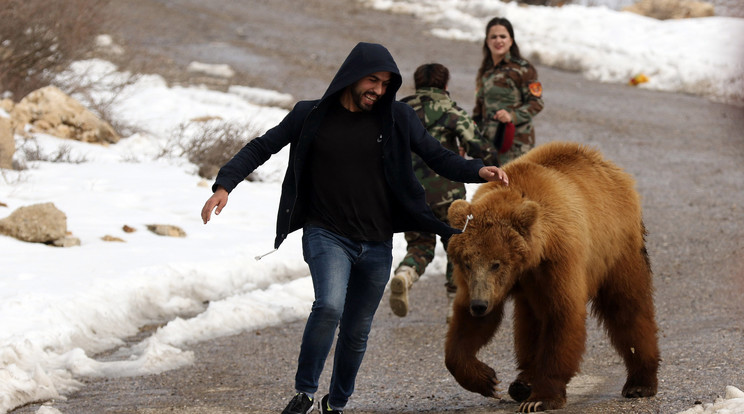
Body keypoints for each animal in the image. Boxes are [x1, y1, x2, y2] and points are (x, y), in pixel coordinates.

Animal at [442, 142, 656, 410]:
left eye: (496, 264)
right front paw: (486, 379)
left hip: (616, 247)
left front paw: (541, 398)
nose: (479, 305)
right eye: (468, 262)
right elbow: (467, 328)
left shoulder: (559, 260)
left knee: (627, 306)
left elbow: (561, 316)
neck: (529, 259)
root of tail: (608, 165)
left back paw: (640, 383)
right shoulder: (491, 282)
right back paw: (522, 382)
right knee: (529, 321)